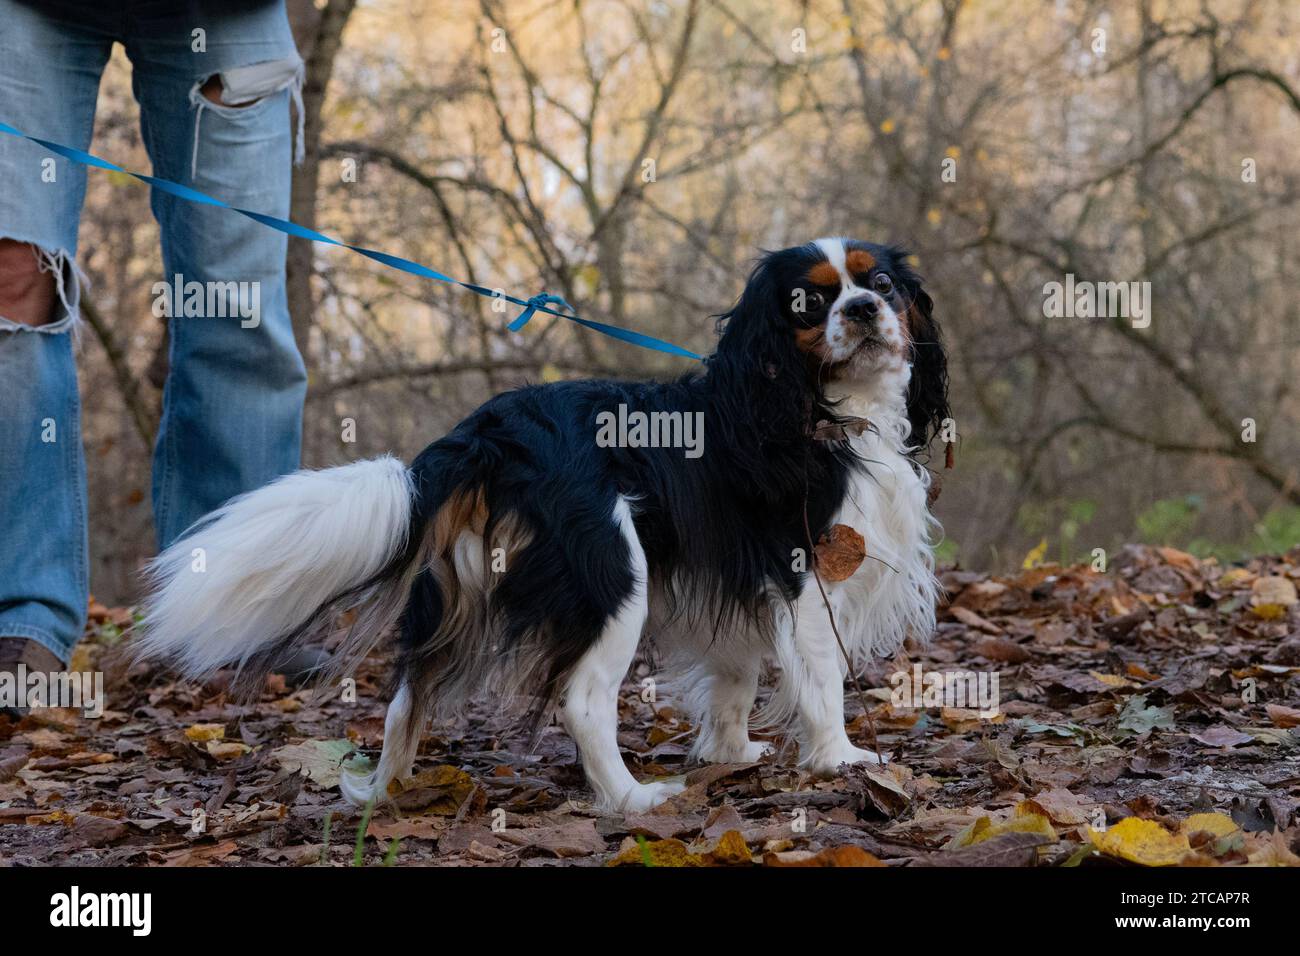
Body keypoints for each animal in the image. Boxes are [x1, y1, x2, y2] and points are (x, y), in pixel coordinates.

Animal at [134, 235, 946, 811]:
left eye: (880, 285)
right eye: (809, 303)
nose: (862, 310)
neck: (815, 403)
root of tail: (488, 433)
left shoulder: (732, 577)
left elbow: (735, 673)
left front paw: (730, 753)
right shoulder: (807, 571)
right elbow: (821, 677)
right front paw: (839, 759)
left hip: (458, 594)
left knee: (404, 700)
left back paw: (382, 793)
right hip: (615, 577)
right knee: (583, 702)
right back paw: (632, 801)